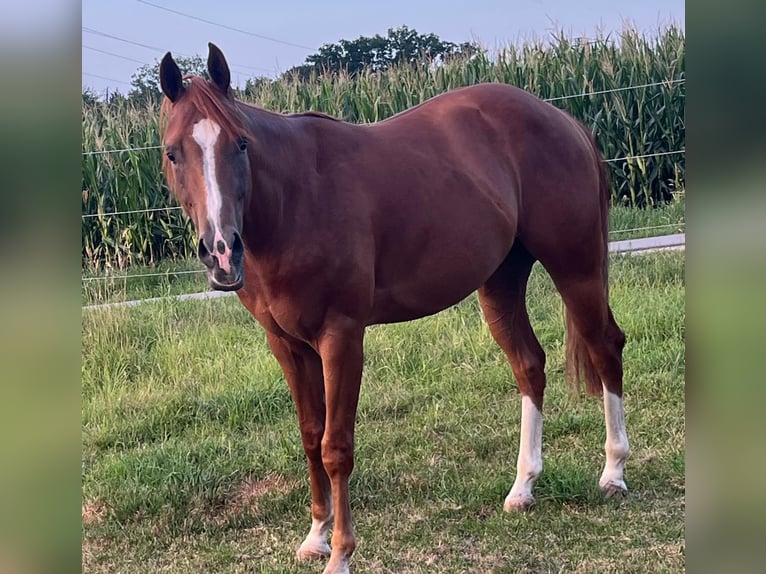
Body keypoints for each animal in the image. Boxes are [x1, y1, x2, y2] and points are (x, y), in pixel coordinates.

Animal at [158, 43, 629, 574]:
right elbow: (309, 436)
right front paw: (315, 537)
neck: (297, 199)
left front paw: (341, 553)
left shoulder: (341, 337)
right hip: (501, 282)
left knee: (605, 349)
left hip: (576, 267)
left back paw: (613, 472)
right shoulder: (285, 344)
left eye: (240, 144)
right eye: (173, 152)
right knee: (529, 366)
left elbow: (336, 446)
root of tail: (562, 118)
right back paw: (523, 487)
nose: (221, 252)